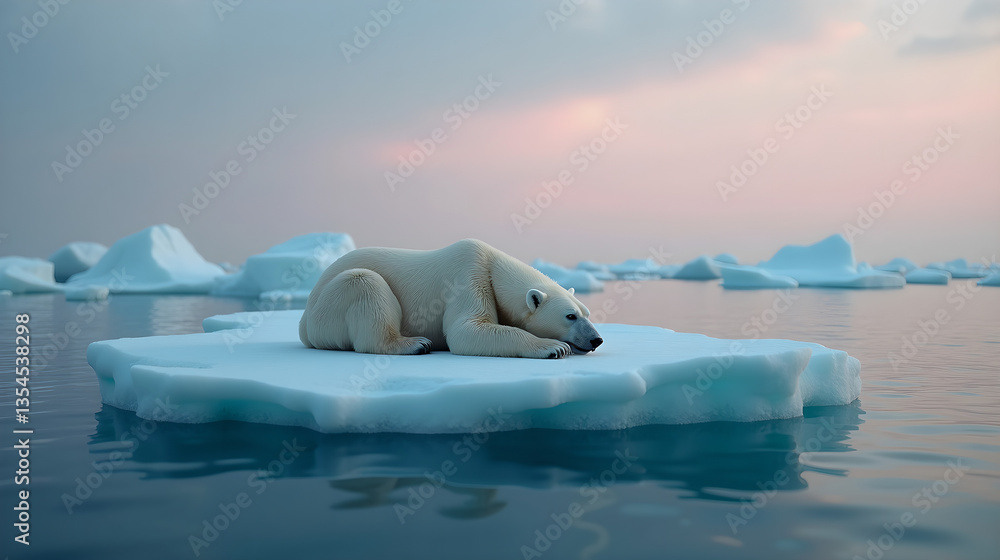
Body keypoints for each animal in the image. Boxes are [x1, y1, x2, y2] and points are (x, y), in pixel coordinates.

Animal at [299, 239, 603, 359]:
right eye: (570, 316)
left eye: (587, 313)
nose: (596, 339)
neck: (493, 266)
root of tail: (303, 323)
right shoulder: (469, 275)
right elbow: (466, 329)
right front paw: (553, 347)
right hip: (329, 307)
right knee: (364, 283)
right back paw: (415, 344)